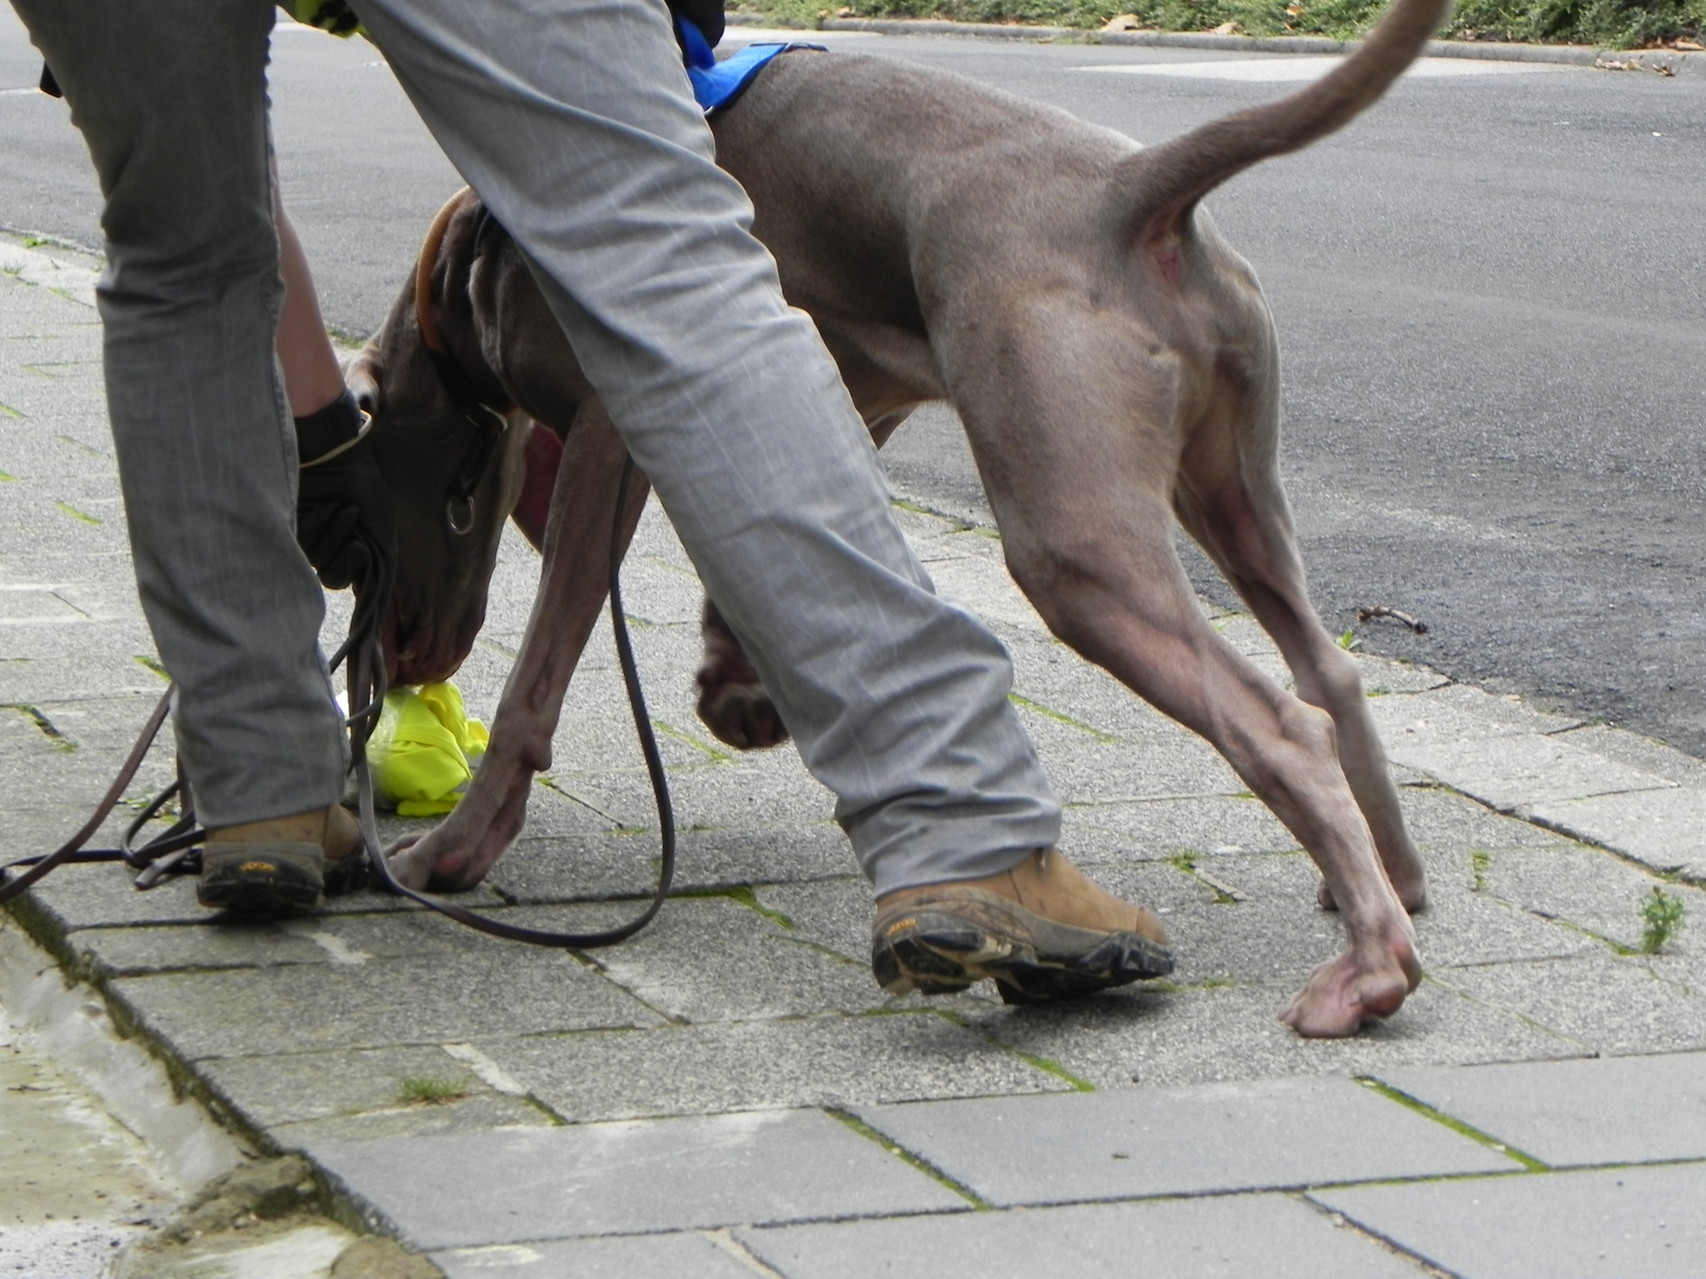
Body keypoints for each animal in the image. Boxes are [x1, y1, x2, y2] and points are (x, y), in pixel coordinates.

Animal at [359, 0, 1453, 1043]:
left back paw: (1365, 973)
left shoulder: (606, 424)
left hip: (1070, 538)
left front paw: (454, 850)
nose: (402, 662)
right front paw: (736, 688)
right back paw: (1390, 880)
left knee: (1279, 722)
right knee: (1330, 671)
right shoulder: (851, 385)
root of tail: (1128, 189)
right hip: (1233, 481)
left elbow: (537, 675)